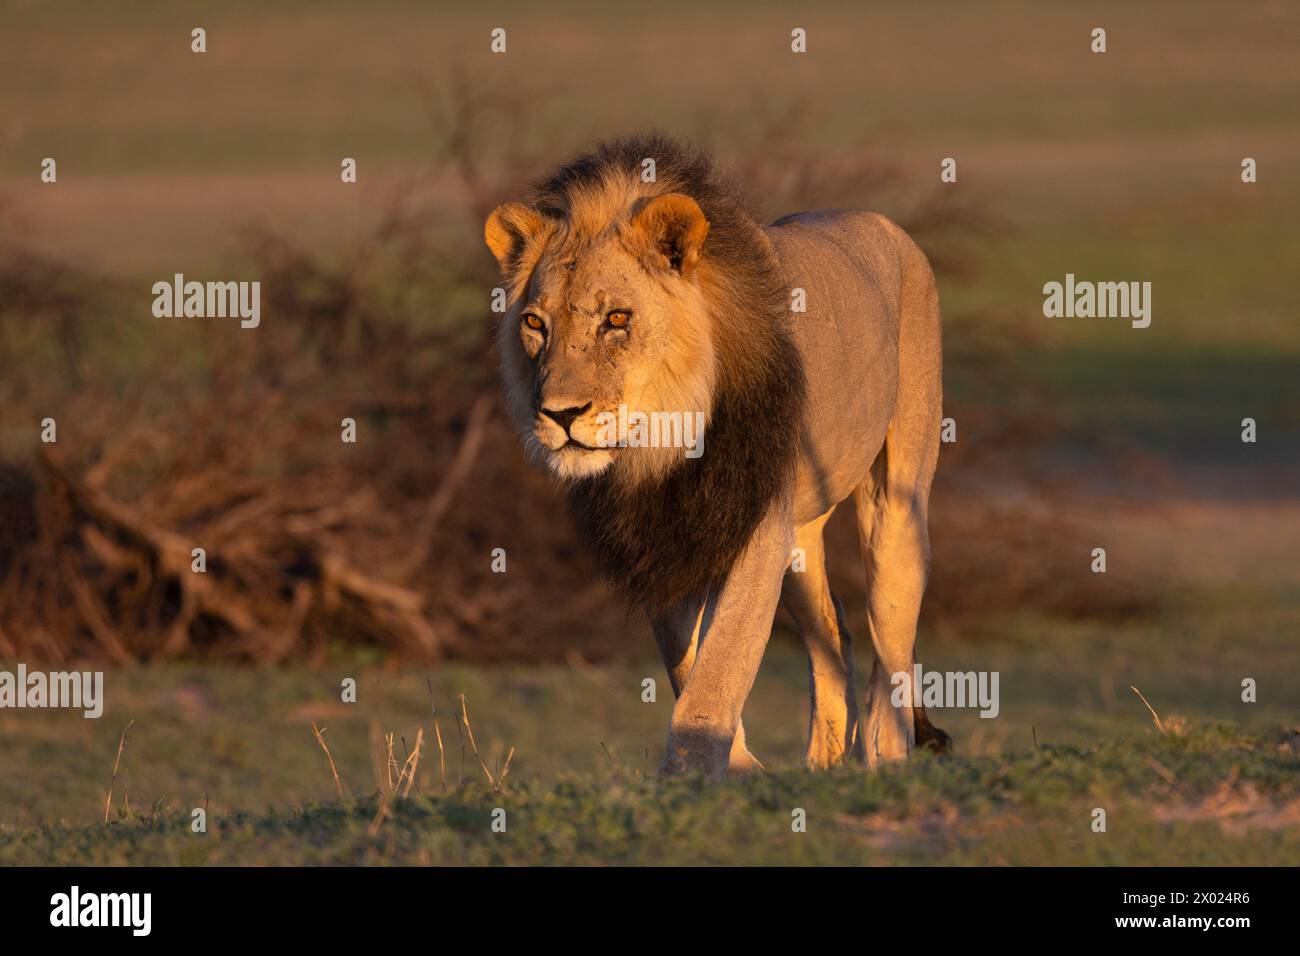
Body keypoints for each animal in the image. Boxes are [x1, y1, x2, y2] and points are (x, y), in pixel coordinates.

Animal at [483, 134, 951, 780]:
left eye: (617, 318)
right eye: (534, 323)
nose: (560, 414)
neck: (663, 439)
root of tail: (882, 223)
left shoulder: (757, 524)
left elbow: (724, 658)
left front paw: (692, 769)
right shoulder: (664, 539)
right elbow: (687, 662)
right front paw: (739, 767)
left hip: (897, 502)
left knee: (893, 639)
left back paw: (886, 755)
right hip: (802, 542)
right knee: (835, 636)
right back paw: (825, 766)